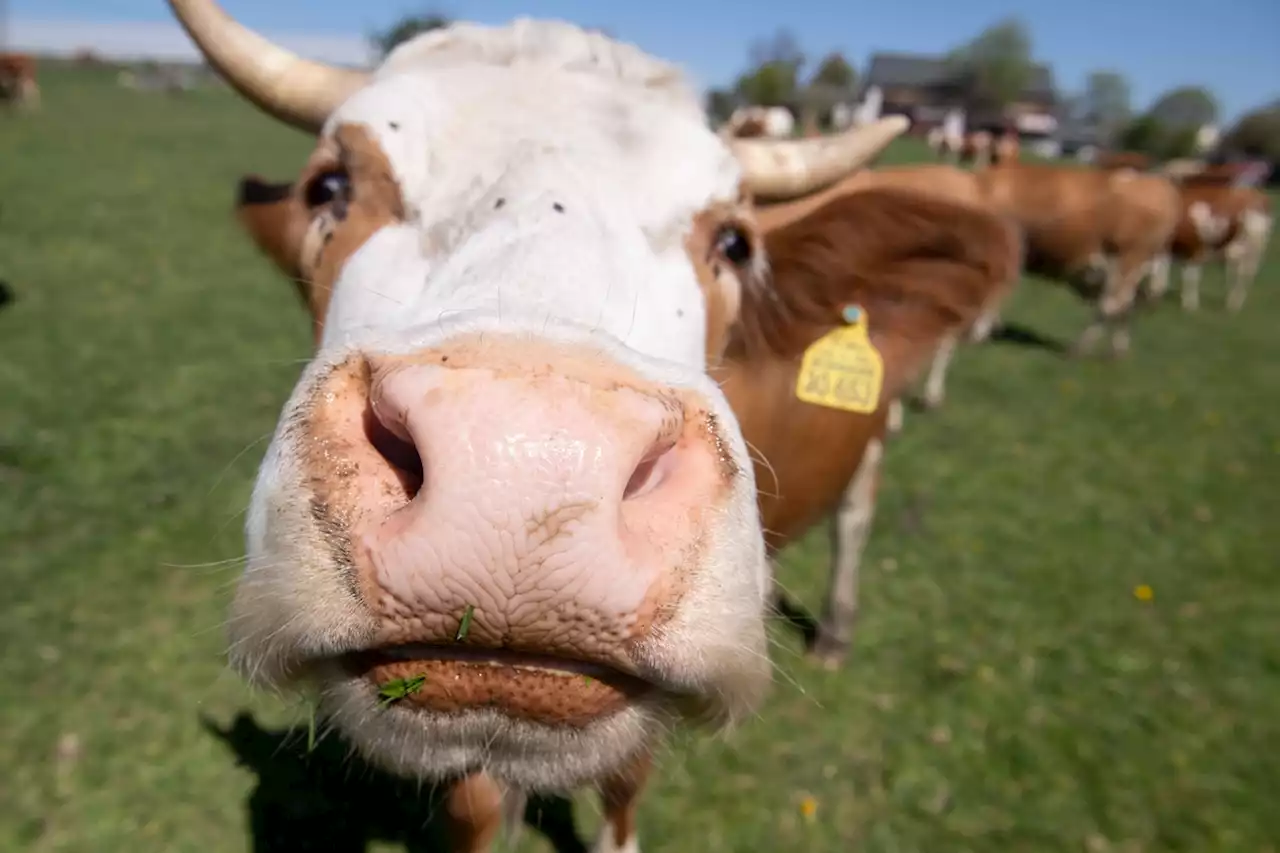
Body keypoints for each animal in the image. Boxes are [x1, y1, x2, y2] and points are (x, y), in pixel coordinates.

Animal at [170, 1, 1024, 850]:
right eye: (330, 185)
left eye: (735, 241)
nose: (522, 471)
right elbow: (477, 806)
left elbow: (624, 780)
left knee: (856, 512)